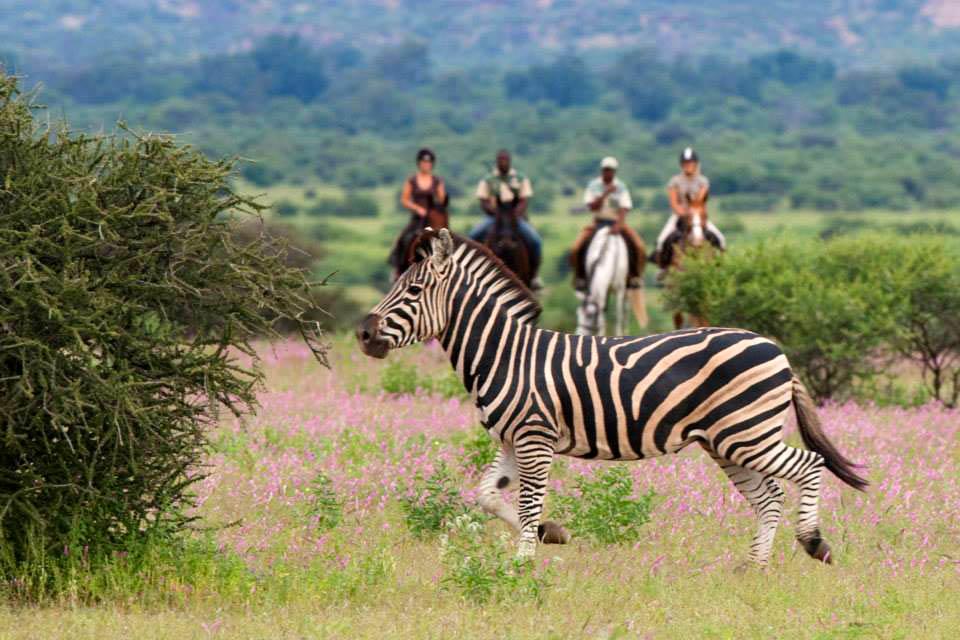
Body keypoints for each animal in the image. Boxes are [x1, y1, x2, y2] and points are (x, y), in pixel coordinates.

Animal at [357, 229, 867, 566]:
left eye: (414, 289)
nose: (363, 333)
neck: (506, 355)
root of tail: (776, 348)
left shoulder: (535, 438)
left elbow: (527, 500)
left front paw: (522, 563)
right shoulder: (511, 439)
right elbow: (487, 496)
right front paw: (550, 532)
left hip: (747, 433)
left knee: (810, 465)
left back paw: (814, 542)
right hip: (727, 442)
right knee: (770, 496)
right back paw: (754, 567)